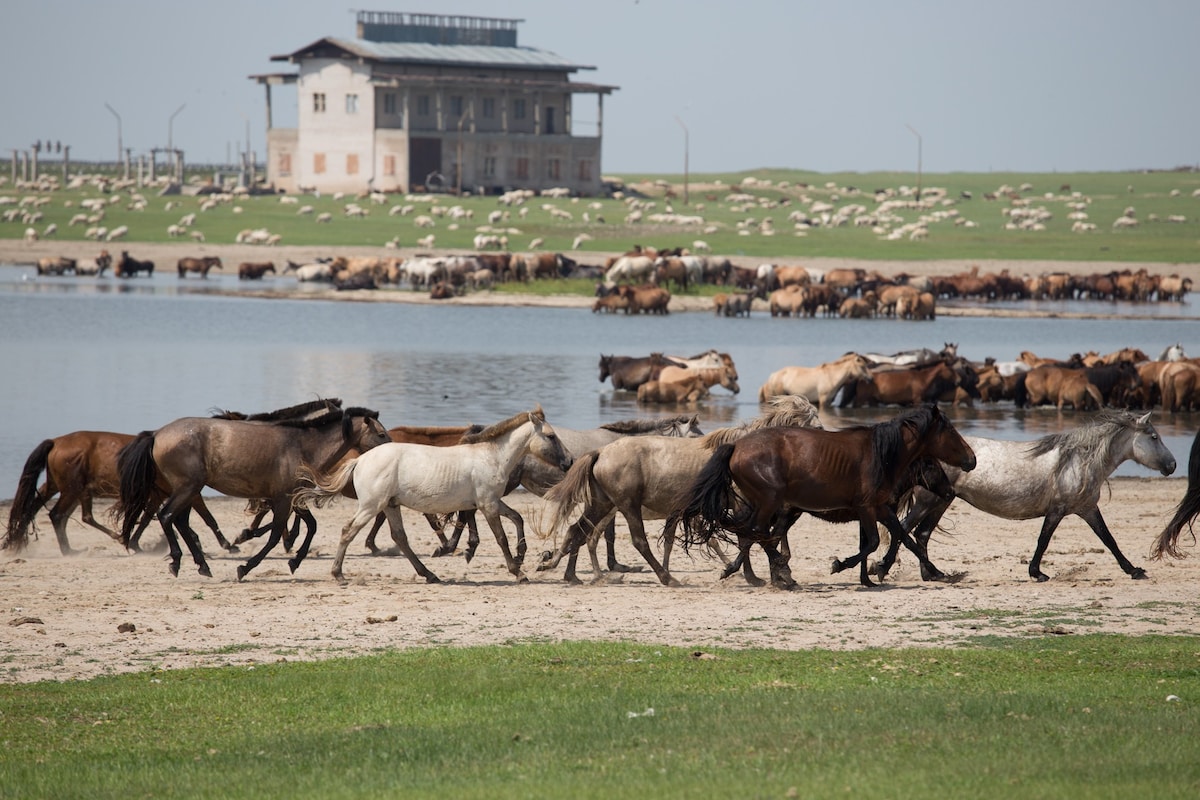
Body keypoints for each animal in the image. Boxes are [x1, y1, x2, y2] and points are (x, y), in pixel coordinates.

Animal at [117, 402, 388, 578]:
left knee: (179, 522)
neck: (302, 446)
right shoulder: (283, 501)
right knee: (167, 517)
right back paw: (178, 562)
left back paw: (202, 566)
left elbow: (310, 526)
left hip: (189, 490)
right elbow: (276, 535)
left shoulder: (290, 499)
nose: (392, 448)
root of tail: (156, 434)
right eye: (381, 434)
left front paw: (294, 561)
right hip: (188, 487)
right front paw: (245, 567)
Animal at [292, 410, 568, 585]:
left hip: (390, 506)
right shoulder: (488, 505)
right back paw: (338, 574)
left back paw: (430, 574)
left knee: (400, 538)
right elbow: (501, 538)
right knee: (348, 530)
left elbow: (517, 518)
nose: (568, 462)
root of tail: (360, 460)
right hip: (371, 506)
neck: (491, 456)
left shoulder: (491, 502)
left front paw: (521, 556)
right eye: (551, 436)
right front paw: (518, 572)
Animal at [672, 407, 979, 587]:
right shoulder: (868, 508)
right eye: (951, 431)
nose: (972, 460)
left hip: (770, 507)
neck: (881, 455)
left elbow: (902, 539)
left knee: (752, 533)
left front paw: (936, 573)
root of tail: (735, 446)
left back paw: (763, 573)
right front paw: (842, 565)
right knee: (758, 533)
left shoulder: (878, 508)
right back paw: (780, 574)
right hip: (770, 503)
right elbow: (874, 543)